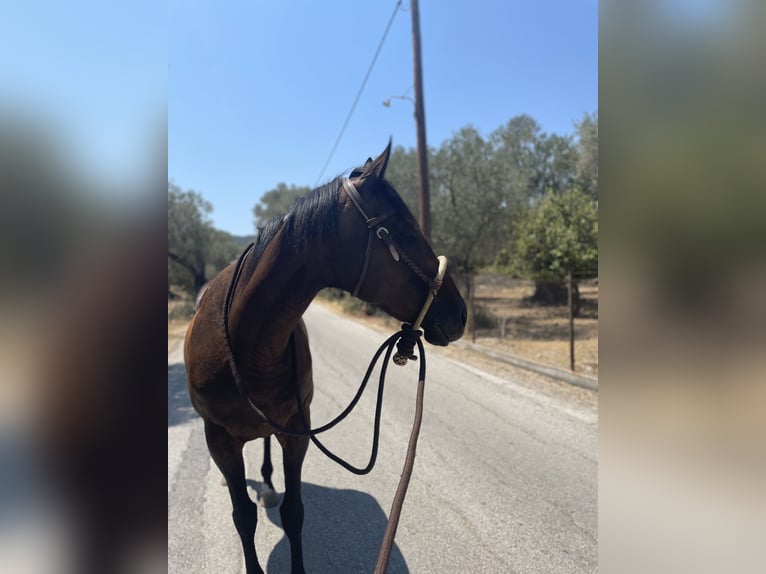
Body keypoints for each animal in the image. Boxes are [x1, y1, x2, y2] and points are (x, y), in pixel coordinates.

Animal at [184, 141, 467, 574]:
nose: (460, 313)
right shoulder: (219, 438)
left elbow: (294, 513)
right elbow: (243, 516)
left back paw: (268, 485)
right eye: (404, 230)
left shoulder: (296, 431)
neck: (248, 344)